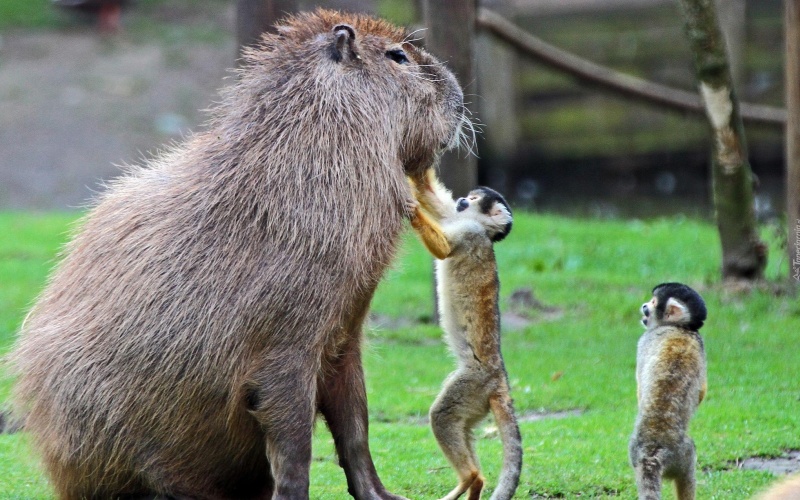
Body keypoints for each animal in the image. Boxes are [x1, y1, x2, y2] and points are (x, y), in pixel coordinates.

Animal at [406, 171, 520, 500]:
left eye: (473, 200)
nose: (461, 200)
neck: (482, 229)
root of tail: (500, 379)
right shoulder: (456, 218)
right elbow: (431, 197)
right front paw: (413, 177)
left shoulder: (470, 231)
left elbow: (444, 248)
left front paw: (410, 209)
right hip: (476, 399)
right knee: (458, 424)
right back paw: (476, 482)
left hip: (472, 384)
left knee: (442, 415)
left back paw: (469, 477)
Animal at [628, 284, 708, 498]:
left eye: (653, 303)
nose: (644, 305)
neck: (680, 328)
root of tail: (652, 452)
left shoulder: (643, 341)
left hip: (679, 455)